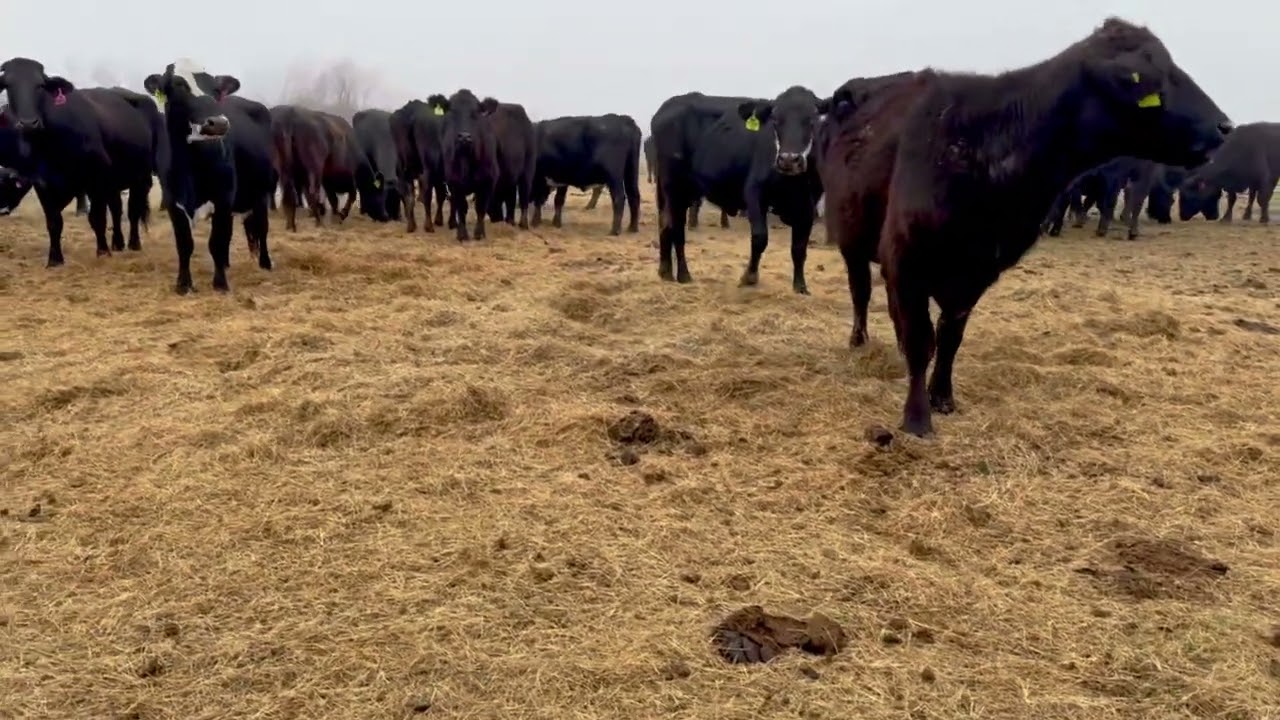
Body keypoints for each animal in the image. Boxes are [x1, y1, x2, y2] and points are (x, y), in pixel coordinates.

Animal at [0, 58, 163, 266]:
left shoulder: (95, 179)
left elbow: (97, 218)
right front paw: (54, 259)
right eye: (8, 85)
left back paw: (133, 243)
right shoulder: (43, 184)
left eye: (40, 85)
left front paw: (103, 252)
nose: (28, 123)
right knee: (117, 209)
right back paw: (117, 243)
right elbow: (54, 222)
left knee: (133, 210)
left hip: (141, 177)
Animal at [143, 59, 276, 294]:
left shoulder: (223, 198)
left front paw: (220, 284)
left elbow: (217, 242)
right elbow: (185, 244)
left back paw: (265, 263)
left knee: (261, 228)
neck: (191, 166)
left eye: (215, 89)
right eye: (178, 84)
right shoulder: (173, 201)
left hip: (261, 193)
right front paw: (183, 284)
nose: (219, 123)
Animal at [389, 97, 450, 233]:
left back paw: (411, 225)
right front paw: (439, 220)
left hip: (403, 168)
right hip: (427, 167)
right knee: (425, 191)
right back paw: (428, 225)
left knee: (408, 193)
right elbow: (441, 194)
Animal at [652, 87, 826, 292]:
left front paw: (800, 286)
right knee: (675, 228)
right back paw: (683, 274)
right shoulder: (754, 192)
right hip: (674, 187)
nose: (789, 159)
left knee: (665, 223)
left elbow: (799, 248)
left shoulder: (808, 205)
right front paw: (749, 277)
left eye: (812, 119)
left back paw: (665, 271)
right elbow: (760, 238)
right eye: (775, 119)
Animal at [819, 17, 1231, 437]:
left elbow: (950, 337)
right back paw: (859, 340)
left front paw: (943, 397)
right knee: (860, 293)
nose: (1225, 125)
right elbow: (921, 341)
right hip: (852, 242)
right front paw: (917, 418)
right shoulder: (908, 261)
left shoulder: (975, 273)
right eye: (1152, 75)